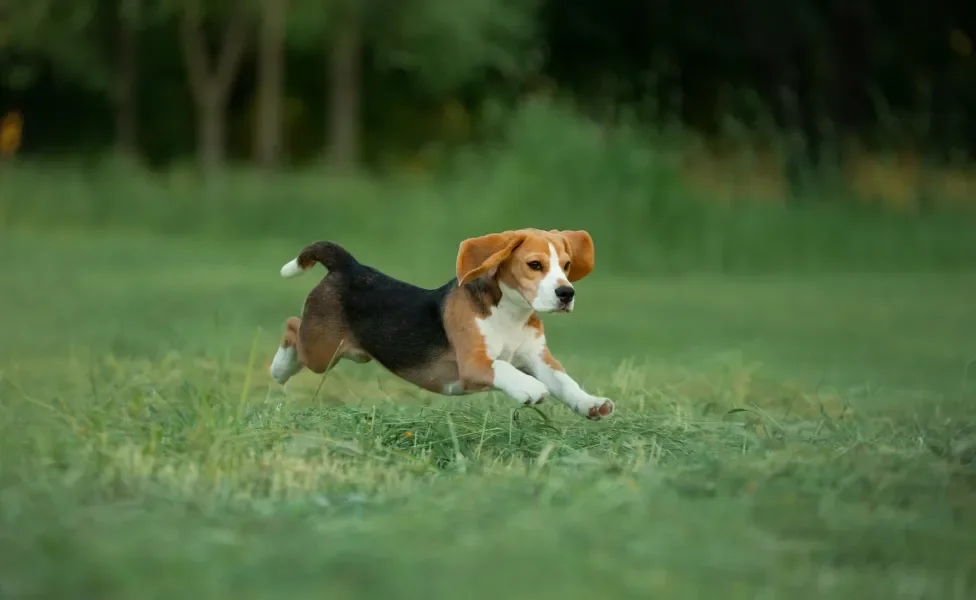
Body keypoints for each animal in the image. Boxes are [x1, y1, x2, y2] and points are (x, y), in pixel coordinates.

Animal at [268, 230, 608, 422]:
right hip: (321, 349)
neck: (511, 313)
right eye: (535, 265)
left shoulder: (539, 358)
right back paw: (279, 368)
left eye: (566, 266)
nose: (566, 293)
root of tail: (348, 265)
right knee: (291, 326)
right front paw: (530, 388)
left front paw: (590, 405)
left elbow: (565, 382)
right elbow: (504, 367)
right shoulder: (474, 363)